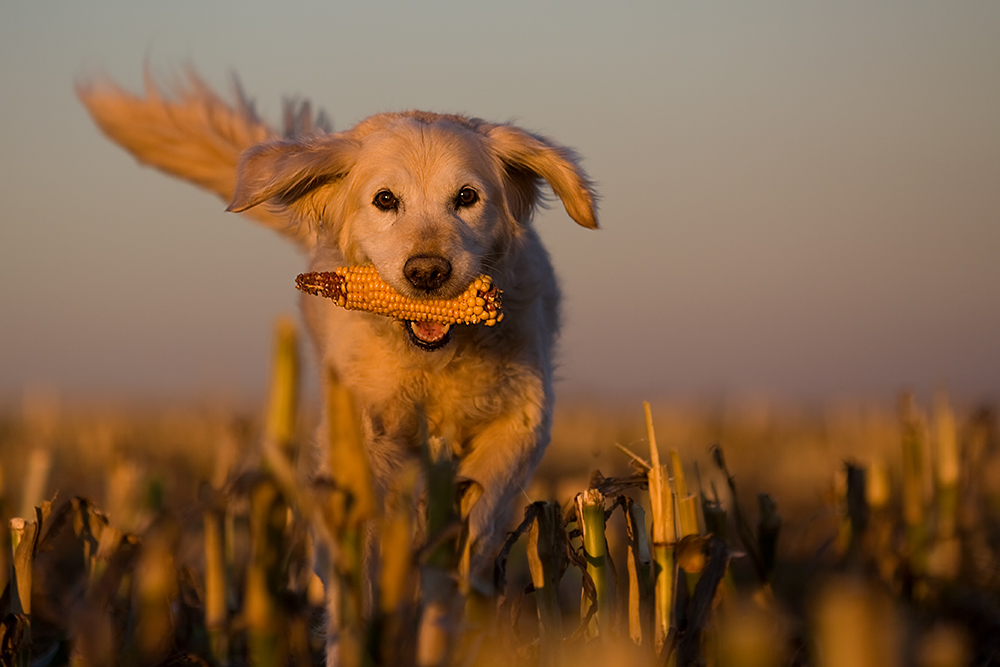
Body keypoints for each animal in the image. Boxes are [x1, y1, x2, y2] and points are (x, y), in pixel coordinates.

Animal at [78, 70, 596, 584]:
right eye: (385, 199)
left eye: (467, 197)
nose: (427, 272)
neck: (432, 362)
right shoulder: (363, 436)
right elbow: (358, 534)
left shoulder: (521, 422)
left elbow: (482, 516)